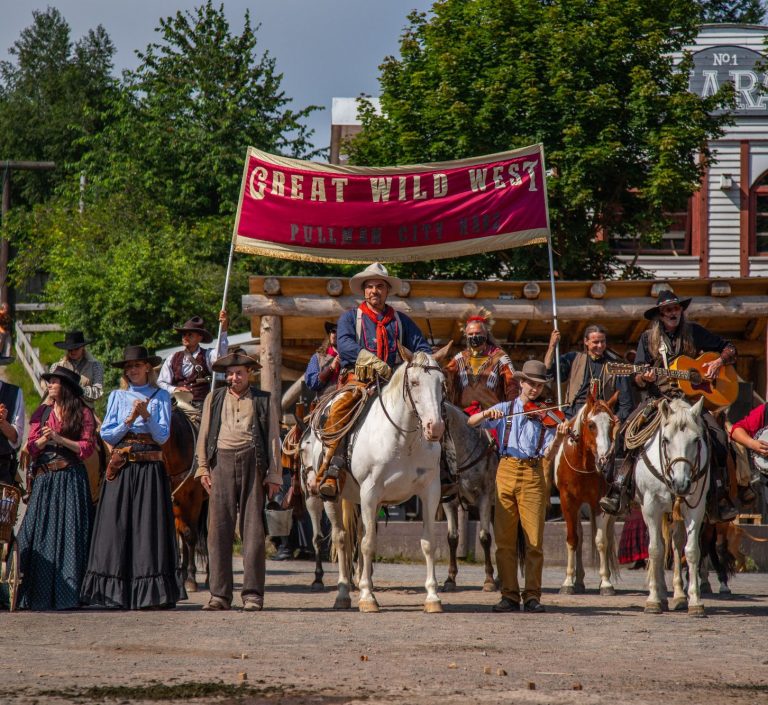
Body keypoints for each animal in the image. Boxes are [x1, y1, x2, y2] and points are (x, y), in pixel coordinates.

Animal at [300, 346, 444, 612]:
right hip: (328, 497)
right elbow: (368, 544)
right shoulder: (370, 492)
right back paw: (343, 593)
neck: (403, 440)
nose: (435, 428)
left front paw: (432, 597)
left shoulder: (430, 491)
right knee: (341, 538)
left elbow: (428, 542)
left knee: (357, 536)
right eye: (415, 382)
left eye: (442, 383)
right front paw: (367, 597)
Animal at [556, 390, 620, 592]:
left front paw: (605, 582)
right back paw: (578, 580)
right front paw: (568, 581)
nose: (604, 459)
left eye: (612, 423)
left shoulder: (598, 502)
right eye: (591, 425)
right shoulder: (567, 501)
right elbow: (572, 539)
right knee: (580, 537)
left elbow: (601, 541)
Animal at [632, 396, 712, 616]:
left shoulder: (695, 508)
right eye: (666, 440)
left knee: (676, 543)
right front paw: (653, 600)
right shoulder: (651, 506)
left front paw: (695, 601)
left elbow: (691, 551)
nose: (681, 484)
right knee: (658, 544)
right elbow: (655, 550)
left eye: (696, 440)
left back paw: (678, 595)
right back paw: (660, 593)